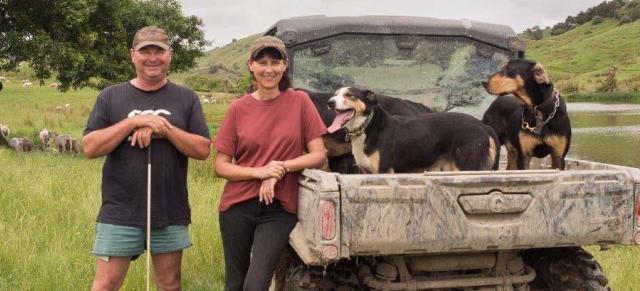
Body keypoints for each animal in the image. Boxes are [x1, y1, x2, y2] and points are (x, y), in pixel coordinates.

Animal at [328, 86, 498, 173]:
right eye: (335, 94)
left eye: (349, 95)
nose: (330, 102)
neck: (367, 126)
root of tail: (484, 126)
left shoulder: (383, 171)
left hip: (469, 167)